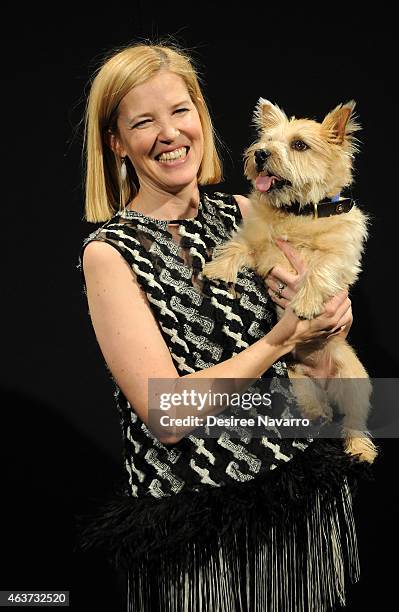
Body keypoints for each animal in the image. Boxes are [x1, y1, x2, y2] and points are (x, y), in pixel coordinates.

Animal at [203, 99, 378, 464]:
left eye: (299, 144)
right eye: (266, 139)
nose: (260, 154)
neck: (297, 214)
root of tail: (321, 379)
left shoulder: (343, 258)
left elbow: (321, 269)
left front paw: (306, 302)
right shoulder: (256, 244)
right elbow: (237, 247)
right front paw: (218, 269)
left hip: (354, 379)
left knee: (354, 420)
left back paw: (359, 448)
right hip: (297, 379)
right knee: (314, 405)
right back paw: (319, 412)